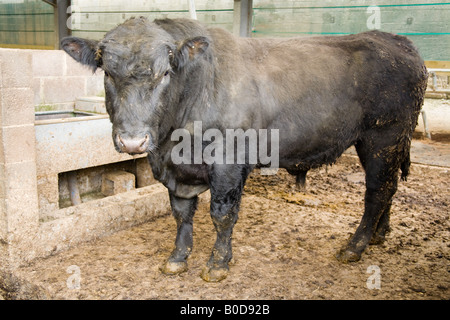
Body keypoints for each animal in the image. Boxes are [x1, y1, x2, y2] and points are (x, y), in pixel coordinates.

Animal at [61, 18, 428, 282]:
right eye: (108, 73)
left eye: (165, 73)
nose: (133, 141)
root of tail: (397, 41)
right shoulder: (174, 168)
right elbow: (181, 213)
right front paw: (177, 258)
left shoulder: (228, 161)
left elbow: (222, 214)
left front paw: (217, 264)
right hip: (389, 144)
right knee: (389, 188)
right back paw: (379, 235)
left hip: (383, 137)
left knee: (377, 192)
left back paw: (355, 246)